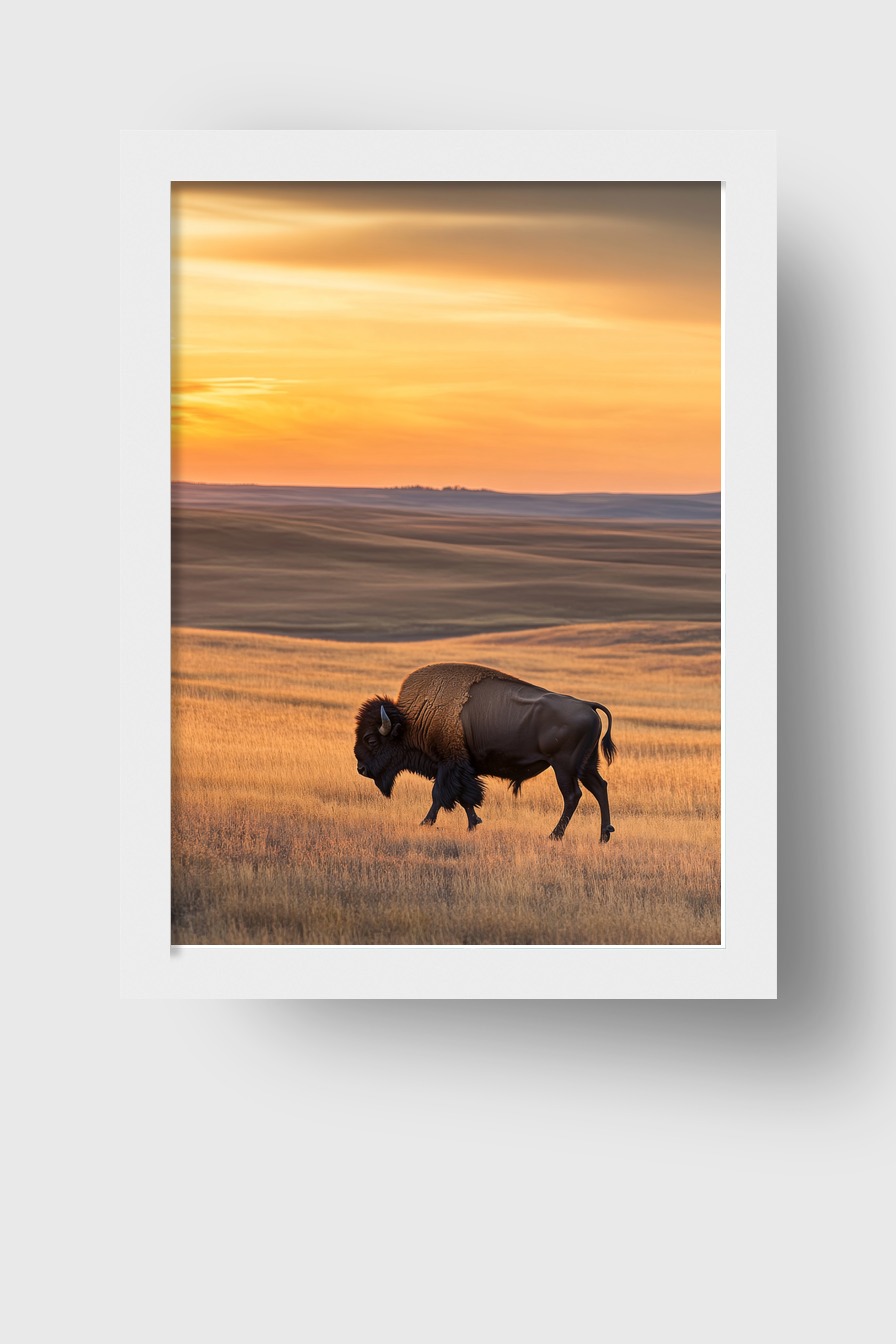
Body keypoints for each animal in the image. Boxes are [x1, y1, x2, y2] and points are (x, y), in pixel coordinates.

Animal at [354, 662, 616, 840]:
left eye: (371, 739)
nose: (361, 769)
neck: (414, 720)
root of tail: (588, 705)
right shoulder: (462, 768)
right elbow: (465, 797)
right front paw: (474, 824)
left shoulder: (449, 764)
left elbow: (440, 794)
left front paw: (425, 822)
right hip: (586, 765)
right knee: (600, 787)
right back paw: (604, 835)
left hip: (564, 767)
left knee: (572, 796)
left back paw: (555, 835)